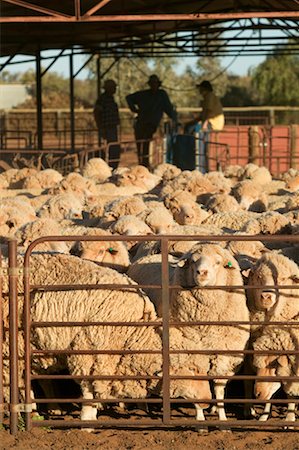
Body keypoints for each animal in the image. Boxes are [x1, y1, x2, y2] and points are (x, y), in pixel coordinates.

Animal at [171, 243, 251, 422]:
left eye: (218, 262)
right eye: (193, 261)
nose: (202, 272)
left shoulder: (224, 355)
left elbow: (219, 389)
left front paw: (222, 417)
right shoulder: (193, 355)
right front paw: (200, 417)